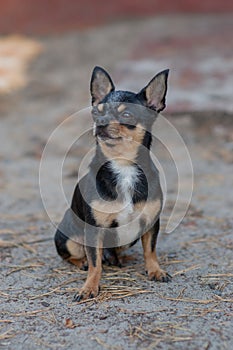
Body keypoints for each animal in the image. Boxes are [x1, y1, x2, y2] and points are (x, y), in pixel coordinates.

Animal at [54, 66, 171, 300]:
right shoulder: (94, 230)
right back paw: (83, 262)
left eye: (127, 114)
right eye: (96, 112)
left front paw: (155, 270)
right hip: (68, 238)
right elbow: (95, 263)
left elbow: (150, 250)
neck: (123, 165)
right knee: (77, 255)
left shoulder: (151, 223)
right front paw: (89, 287)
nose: (100, 122)